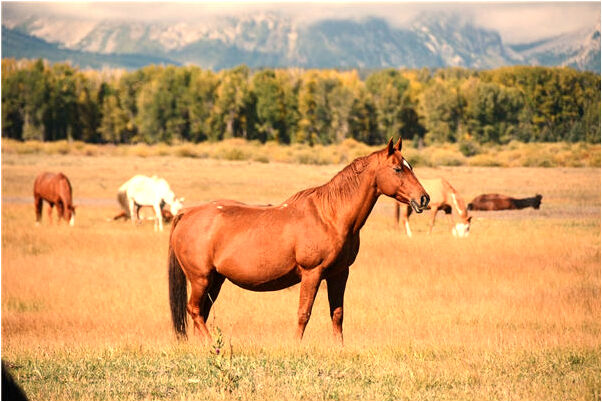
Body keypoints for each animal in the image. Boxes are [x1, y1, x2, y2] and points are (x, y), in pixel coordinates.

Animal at [166, 139, 428, 346]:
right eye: (397, 169)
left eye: (410, 167)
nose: (424, 198)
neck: (329, 216)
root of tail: (186, 214)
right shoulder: (312, 273)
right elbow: (304, 313)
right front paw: (296, 346)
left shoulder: (339, 273)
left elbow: (337, 313)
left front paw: (339, 348)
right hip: (200, 279)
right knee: (194, 310)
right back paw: (213, 346)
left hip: (215, 280)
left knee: (201, 313)